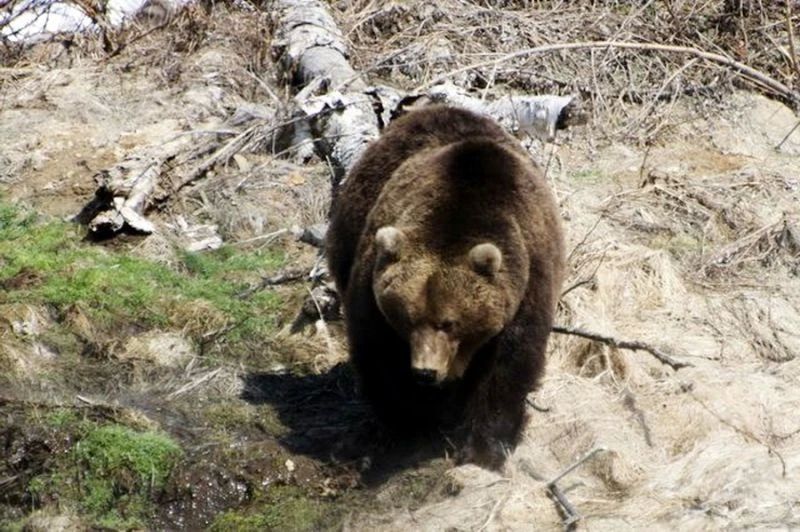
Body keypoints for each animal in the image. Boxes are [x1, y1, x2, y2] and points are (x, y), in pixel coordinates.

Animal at [326, 105, 565, 469]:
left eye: (450, 322)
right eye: (407, 319)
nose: (425, 372)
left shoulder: (528, 280)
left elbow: (508, 365)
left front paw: (484, 447)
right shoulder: (373, 285)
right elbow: (378, 353)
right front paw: (409, 423)